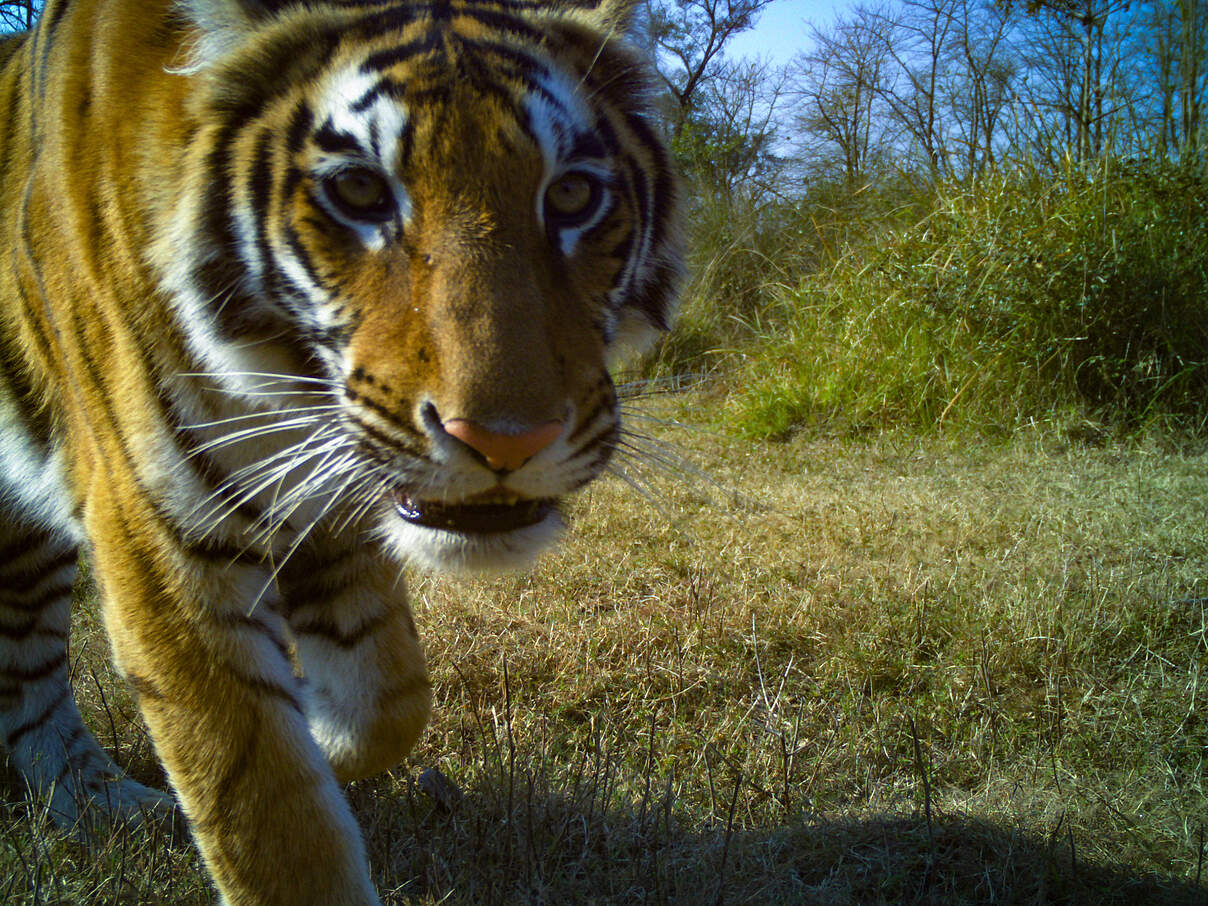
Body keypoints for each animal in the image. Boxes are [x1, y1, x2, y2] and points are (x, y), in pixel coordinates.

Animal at [0, 0, 681, 903]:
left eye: (571, 194)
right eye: (359, 190)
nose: (506, 438)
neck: (286, 393)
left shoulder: (338, 503)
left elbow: (390, 697)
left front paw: (327, 736)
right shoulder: (156, 530)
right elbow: (265, 809)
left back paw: (104, 806)